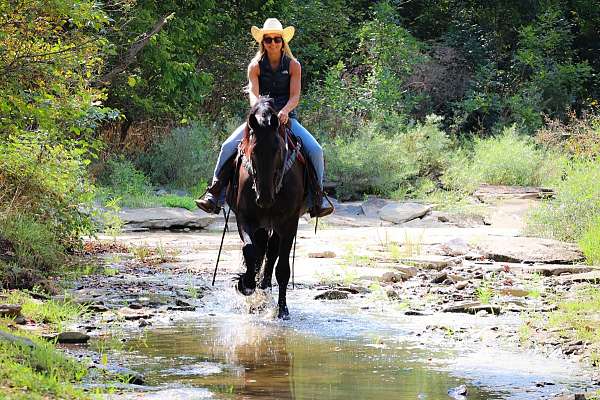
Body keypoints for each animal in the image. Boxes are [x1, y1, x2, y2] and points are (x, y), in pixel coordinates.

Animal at [227, 96, 308, 318]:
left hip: (276, 225)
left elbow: (283, 268)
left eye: (277, 150)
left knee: (271, 252)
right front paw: (245, 284)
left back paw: (264, 289)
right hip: (264, 224)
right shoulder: (245, 218)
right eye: (253, 150)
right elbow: (250, 250)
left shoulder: (289, 223)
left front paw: (282, 310)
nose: (264, 198)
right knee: (263, 249)